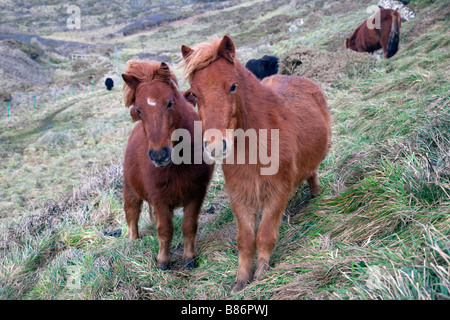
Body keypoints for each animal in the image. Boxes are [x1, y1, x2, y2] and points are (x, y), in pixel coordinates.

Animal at [121, 59, 214, 270]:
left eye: (170, 102)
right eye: (139, 109)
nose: (159, 155)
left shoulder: (196, 194)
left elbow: (189, 226)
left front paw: (189, 259)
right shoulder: (159, 200)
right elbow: (165, 230)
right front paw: (163, 261)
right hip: (130, 191)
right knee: (132, 214)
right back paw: (133, 243)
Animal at [181, 35, 332, 292]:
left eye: (233, 86)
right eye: (195, 94)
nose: (215, 146)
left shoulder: (276, 193)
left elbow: (265, 235)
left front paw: (261, 273)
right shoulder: (240, 197)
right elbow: (245, 240)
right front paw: (241, 281)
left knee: (312, 173)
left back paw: (315, 194)